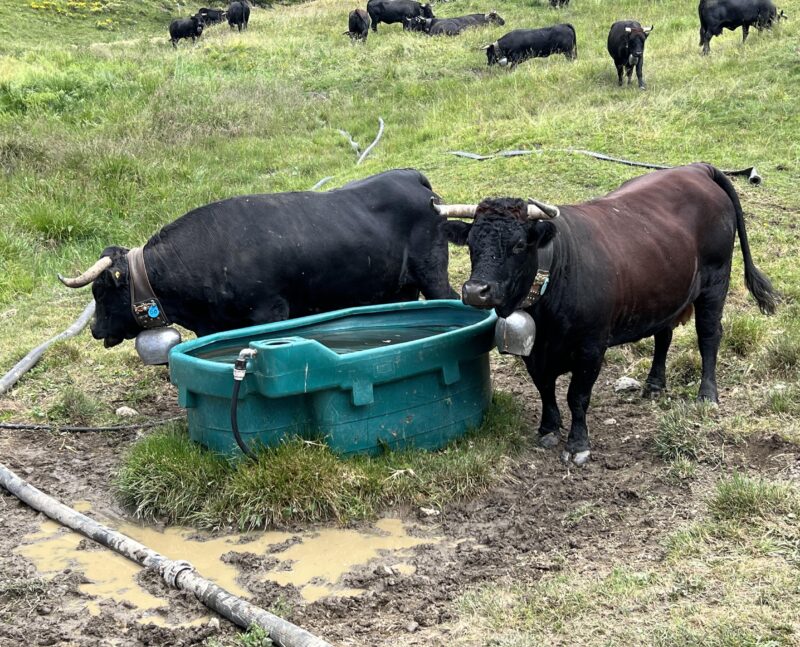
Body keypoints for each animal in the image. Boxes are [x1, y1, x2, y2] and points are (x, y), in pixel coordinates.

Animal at [59, 170, 460, 346]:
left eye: (101, 291)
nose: (94, 330)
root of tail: (410, 176)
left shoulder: (270, 311)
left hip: (432, 273)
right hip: (399, 288)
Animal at [434, 163, 780, 466]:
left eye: (519, 245)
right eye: (471, 243)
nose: (475, 290)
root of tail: (697, 168)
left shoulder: (591, 347)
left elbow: (577, 396)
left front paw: (578, 445)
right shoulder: (534, 353)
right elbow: (544, 388)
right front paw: (548, 428)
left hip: (715, 281)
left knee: (708, 335)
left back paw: (707, 394)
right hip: (665, 291)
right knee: (663, 335)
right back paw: (654, 385)